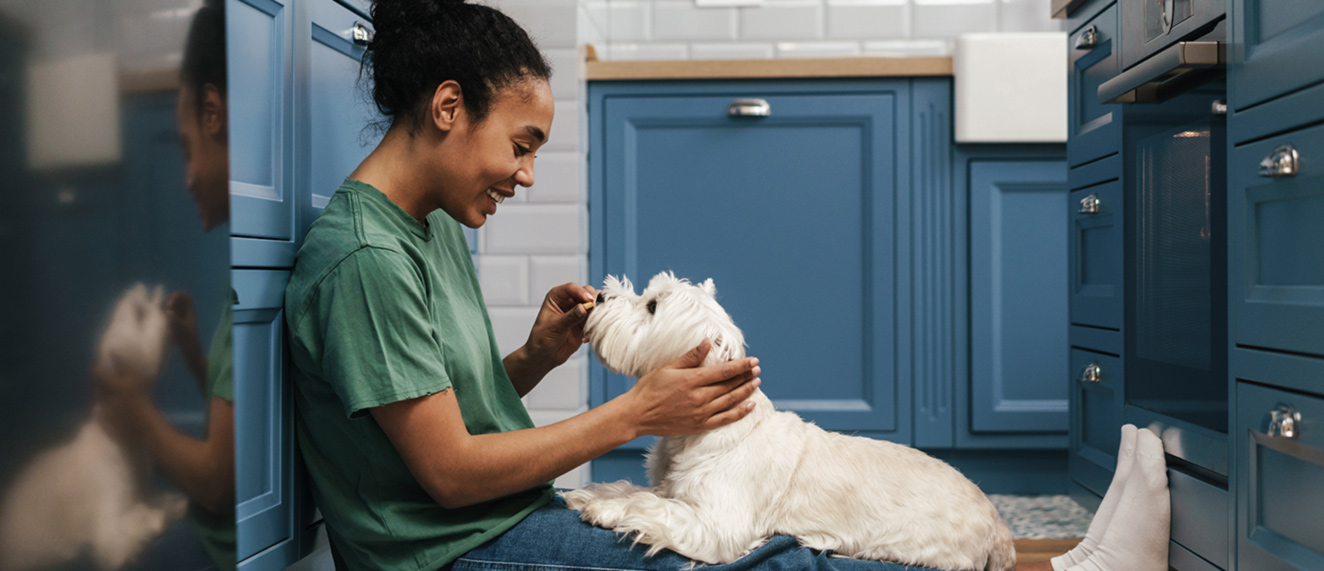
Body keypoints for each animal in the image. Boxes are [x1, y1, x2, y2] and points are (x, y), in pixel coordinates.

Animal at [566, 272, 1011, 571]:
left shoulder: (717, 524)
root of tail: (997, 525)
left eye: (652, 306)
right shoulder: (672, 487)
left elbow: (652, 506)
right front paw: (592, 495)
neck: (705, 432)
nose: (599, 295)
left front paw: (607, 510)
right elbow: (638, 489)